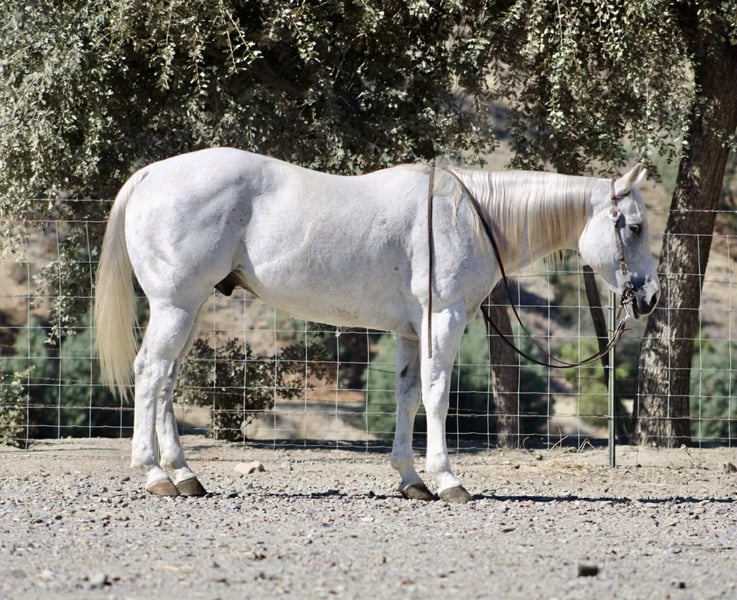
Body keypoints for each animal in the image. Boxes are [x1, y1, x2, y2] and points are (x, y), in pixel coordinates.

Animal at [94, 148, 660, 502]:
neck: (468, 217)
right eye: (634, 227)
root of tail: (150, 175)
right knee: (151, 373)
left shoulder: (411, 331)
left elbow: (409, 397)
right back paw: (154, 475)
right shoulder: (444, 320)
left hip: (189, 309)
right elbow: (437, 397)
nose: (651, 297)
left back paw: (184, 474)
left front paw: (412, 481)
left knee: (166, 382)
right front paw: (447, 481)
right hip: (176, 305)